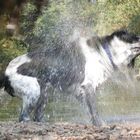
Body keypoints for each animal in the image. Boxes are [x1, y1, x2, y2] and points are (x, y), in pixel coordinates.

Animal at [0, 29, 139, 126]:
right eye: (136, 37)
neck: (104, 52)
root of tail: (6, 74)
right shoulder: (88, 87)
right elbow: (94, 111)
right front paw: (100, 125)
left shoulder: (79, 93)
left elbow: (89, 111)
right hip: (33, 91)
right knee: (23, 117)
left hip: (44, 92)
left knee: (37, 116)